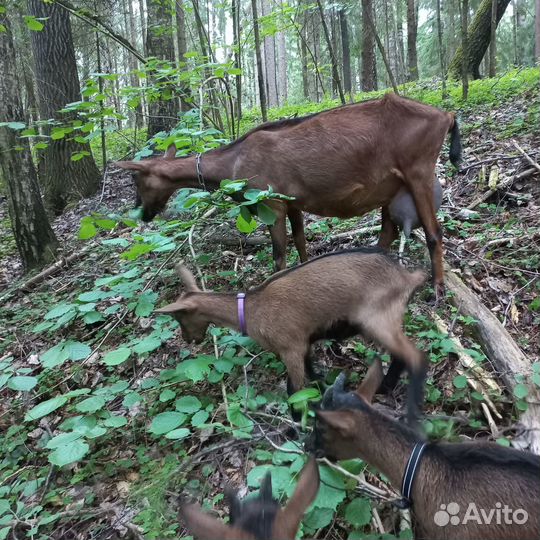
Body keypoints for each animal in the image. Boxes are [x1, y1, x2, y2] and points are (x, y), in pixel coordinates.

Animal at [117, 93, 460, 296]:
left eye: (136, 179)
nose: (141, 212)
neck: (232, 164)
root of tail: (447, 116)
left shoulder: (271, 202)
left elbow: (279, 254)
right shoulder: (294, 200)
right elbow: (301, 242)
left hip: (419, 170)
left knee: (434, 232)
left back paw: (439, 287)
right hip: (391, 186)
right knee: (387, 232)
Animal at [155, 249, 426, 422]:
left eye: (179, 318)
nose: (189, 339)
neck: (252, 309)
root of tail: (407, 276)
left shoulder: (290, 349)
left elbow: (293, 391)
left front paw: (296, 427)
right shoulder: (303, 343)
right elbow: (310, 372)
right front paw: (321, 386)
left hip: (377, 320)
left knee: (415, 356)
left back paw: (411, 413)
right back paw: (385, 387)